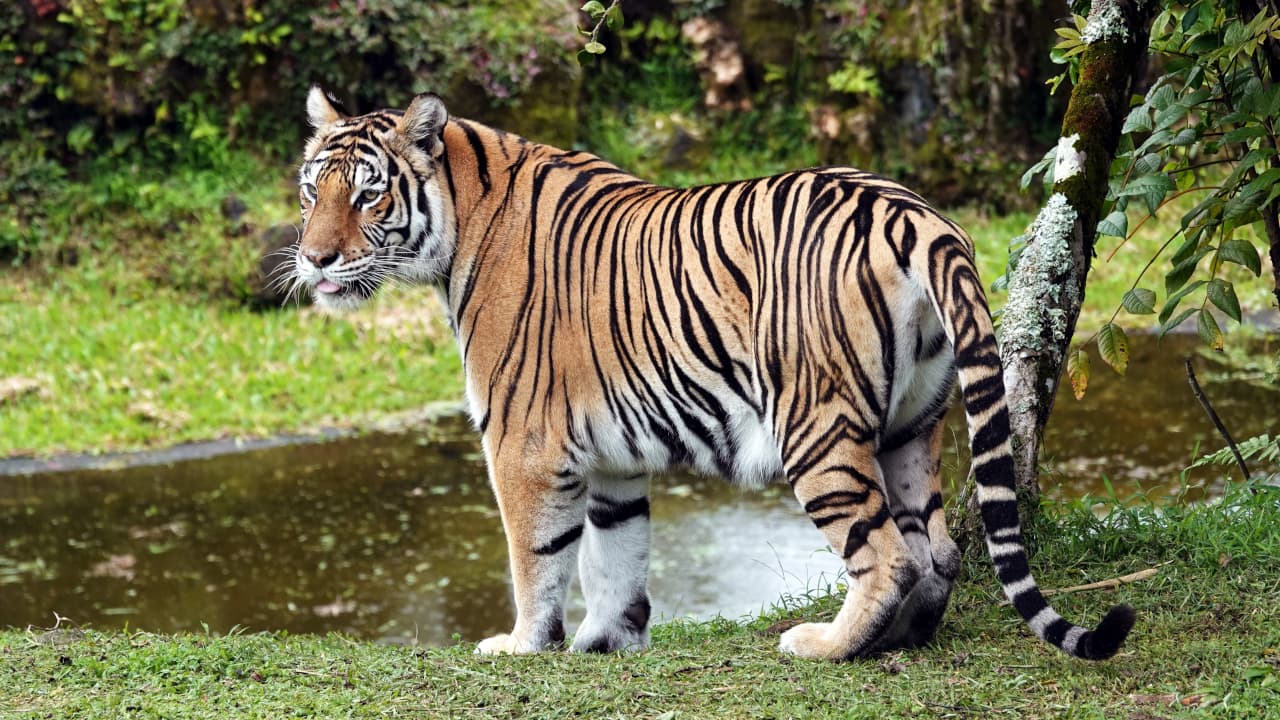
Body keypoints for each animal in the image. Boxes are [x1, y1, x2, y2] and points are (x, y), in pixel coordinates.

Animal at [291, 86, 1136, 661]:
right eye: (311, 190)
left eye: (367, 195)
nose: (315, 257)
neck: (459, 222)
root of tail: (914, 212)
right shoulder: (611, 455)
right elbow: (616, 555)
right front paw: (607, 642)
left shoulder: (522, 444)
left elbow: (537, 559)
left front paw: (523, 645)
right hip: (912, 423)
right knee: (936, 550)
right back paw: (900, 639)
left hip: (815, 427)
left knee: (888, 556)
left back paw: (825, 646)